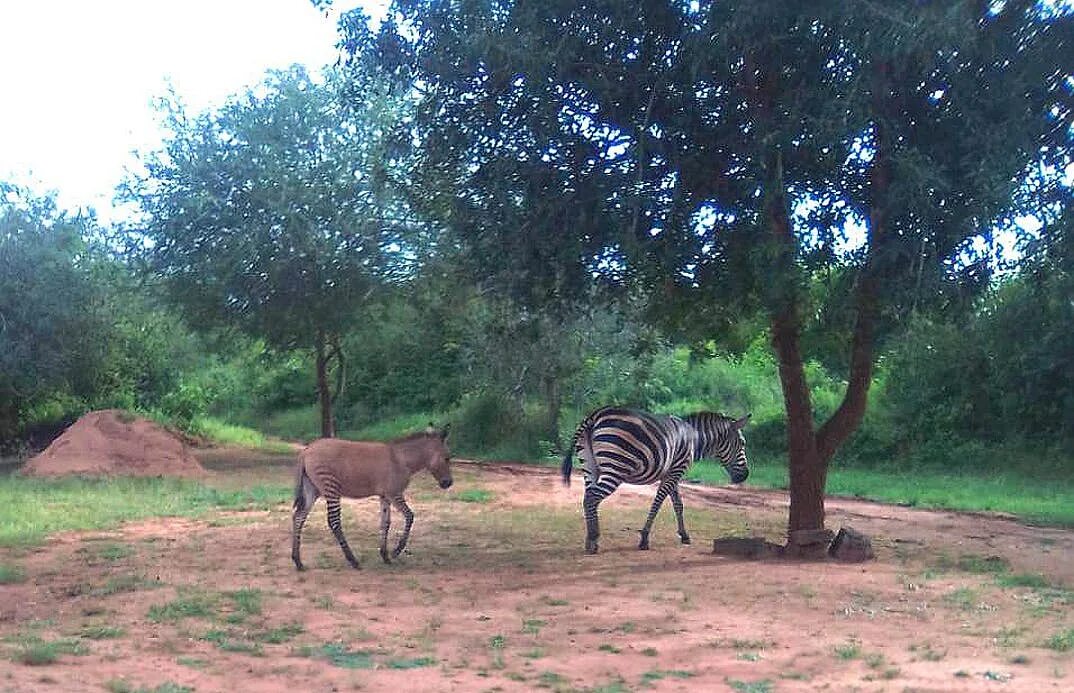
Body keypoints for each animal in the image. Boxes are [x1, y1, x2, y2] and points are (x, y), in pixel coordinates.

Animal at [558, 406, 751, 550]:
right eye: (742, 443)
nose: (745, 475)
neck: (694, 438)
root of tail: (594, 415)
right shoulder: (676, 470)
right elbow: (658, 503)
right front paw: (644, 538)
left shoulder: (671, 472)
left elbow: (678, 504)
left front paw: (684, 535)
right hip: (615, 466)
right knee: (592, 498)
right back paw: (593, 539)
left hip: (590, 466)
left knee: (588, 497)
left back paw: (591, 539)